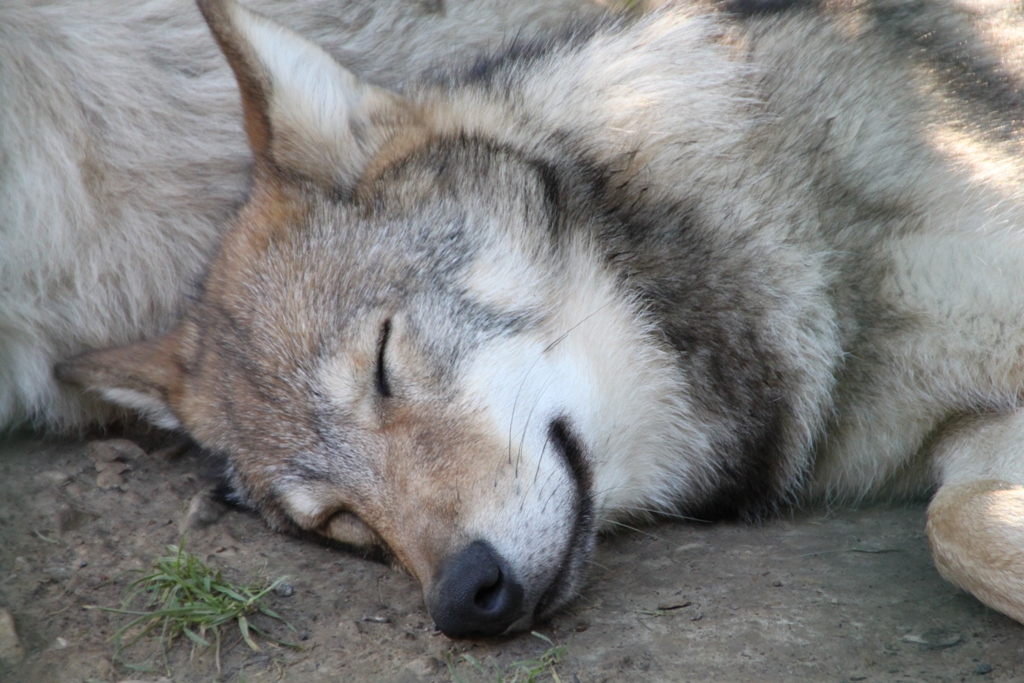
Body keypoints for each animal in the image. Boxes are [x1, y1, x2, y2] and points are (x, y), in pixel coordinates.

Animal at [54, 0, 1024, 638]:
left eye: (383, 361)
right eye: (337, 520)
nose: (463, 599)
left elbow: (951, 531)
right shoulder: (970, 438)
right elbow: (956, 527)